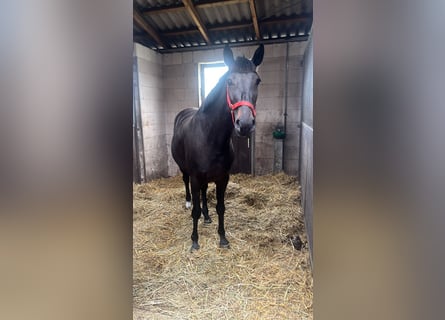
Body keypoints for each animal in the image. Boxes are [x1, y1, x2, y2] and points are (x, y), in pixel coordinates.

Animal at [169, 44, 260, 250]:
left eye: (257, 81)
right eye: (229, 81)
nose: (245, 124)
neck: (209, 136)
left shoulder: (222, 178)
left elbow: (220, 207)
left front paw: (223, 238)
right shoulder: (195, 177)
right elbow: (195, 210)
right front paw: (194, 241)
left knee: (204, 193)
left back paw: (207, 216)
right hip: (185, 170)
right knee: (186, 184)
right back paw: (188, 204)